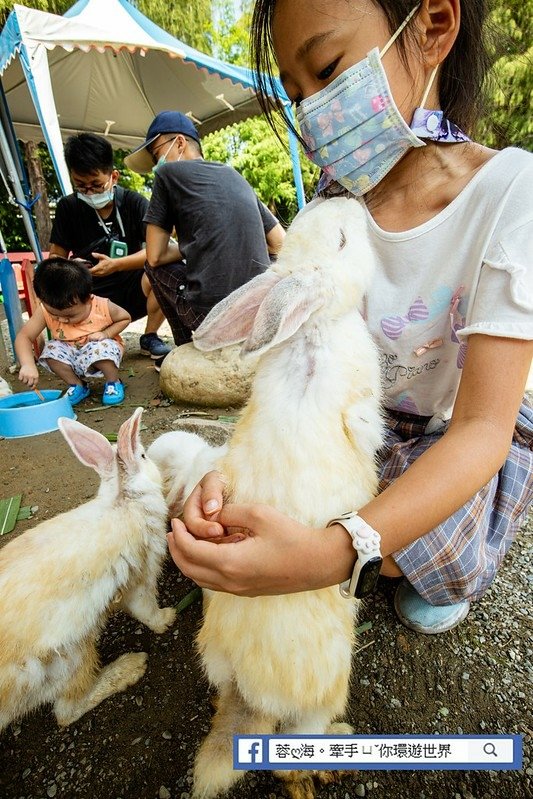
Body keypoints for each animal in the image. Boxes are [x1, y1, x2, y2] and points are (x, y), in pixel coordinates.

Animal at [0, 410, 177, 736]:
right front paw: (166, 619)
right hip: (70, 656)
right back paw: (130, 667)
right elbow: (146, 610)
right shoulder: (141, 576)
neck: (124, 501)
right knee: (66, 712)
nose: (155, 465)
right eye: (143, 455)